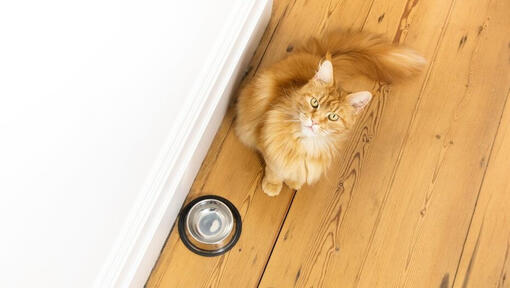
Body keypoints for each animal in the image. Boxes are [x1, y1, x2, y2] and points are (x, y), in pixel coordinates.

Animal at [235, 29, 426, 196]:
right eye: (314, 103)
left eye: (333, 117)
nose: (314, 122)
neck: (306, 145)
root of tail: (320, 55)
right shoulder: (269, 146)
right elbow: (274, 170)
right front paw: (272, 186)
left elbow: (294, 172)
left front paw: (293, 181)